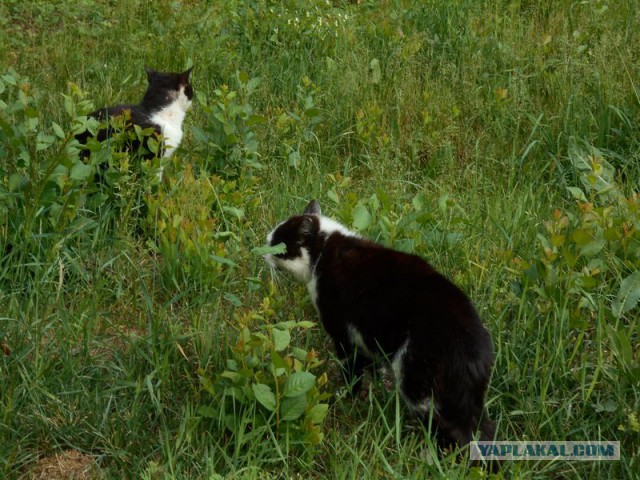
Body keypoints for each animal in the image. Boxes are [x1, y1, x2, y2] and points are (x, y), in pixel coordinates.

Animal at [262, 201, 498, 456]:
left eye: (277, 245)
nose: (262, 253)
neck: (324, 251)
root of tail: (474, 350)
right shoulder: (366, 337)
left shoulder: (343, 331)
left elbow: (351, 369)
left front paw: (347, 396)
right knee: (483, 429)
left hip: (416, 378)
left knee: (452, 430)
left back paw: (428, 454)